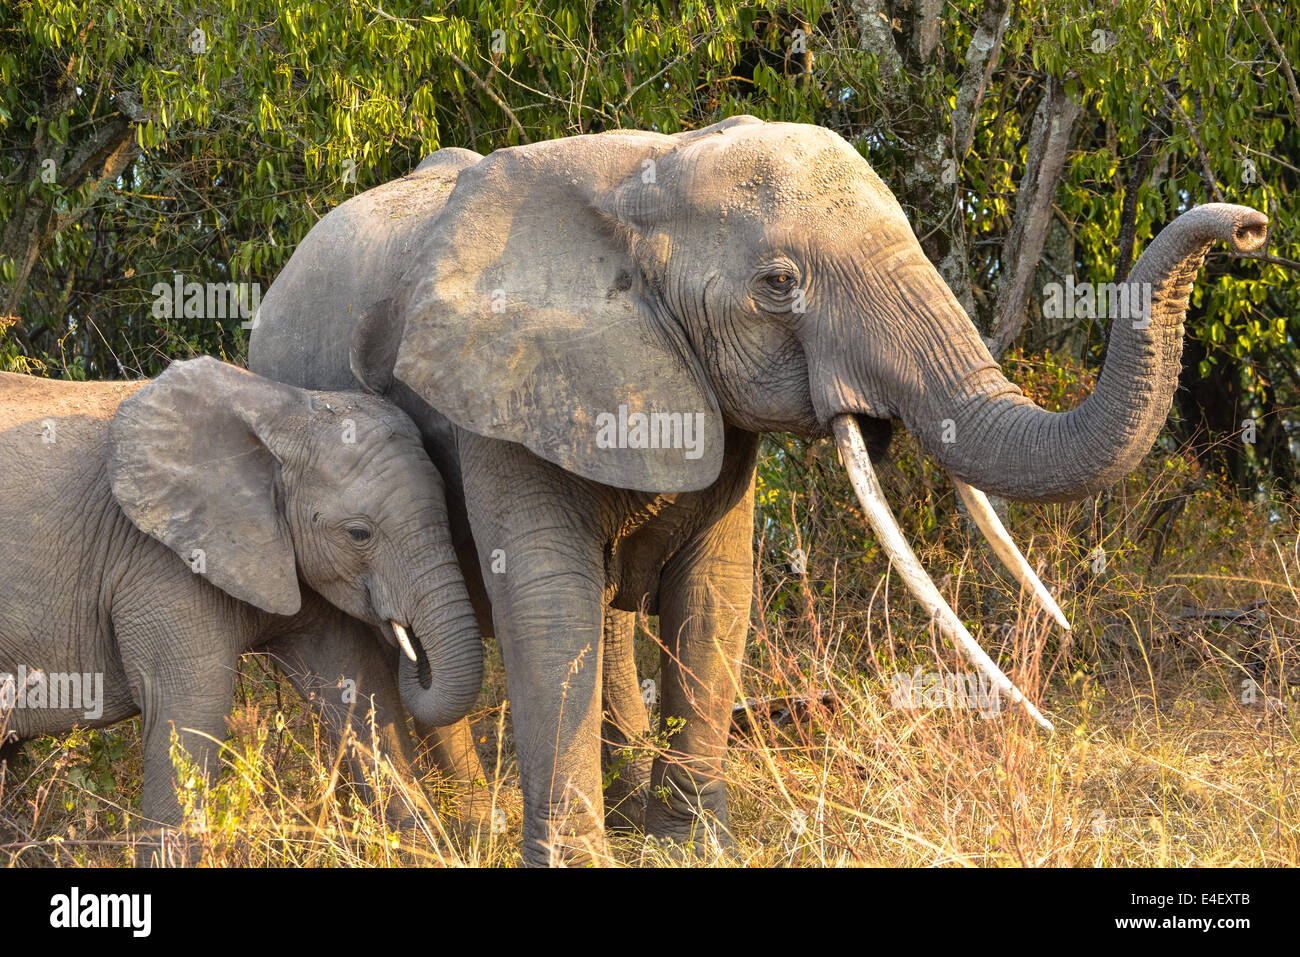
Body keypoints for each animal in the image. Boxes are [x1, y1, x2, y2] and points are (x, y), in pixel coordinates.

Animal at [0, 356, 483, 858]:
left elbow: (358, 684)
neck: (284, 410)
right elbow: (190, 713)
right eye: (358, 534)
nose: (408, 636)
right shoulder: (159, 564)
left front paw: (424, 850)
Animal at [248, 115, 1263, 863]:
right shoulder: (497, 386)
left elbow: (714, 590)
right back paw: (454, 831)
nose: (1248, 227)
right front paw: (586, 858)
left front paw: (692, 847)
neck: (649, 176)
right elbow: (547, 602)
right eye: (780, 283)